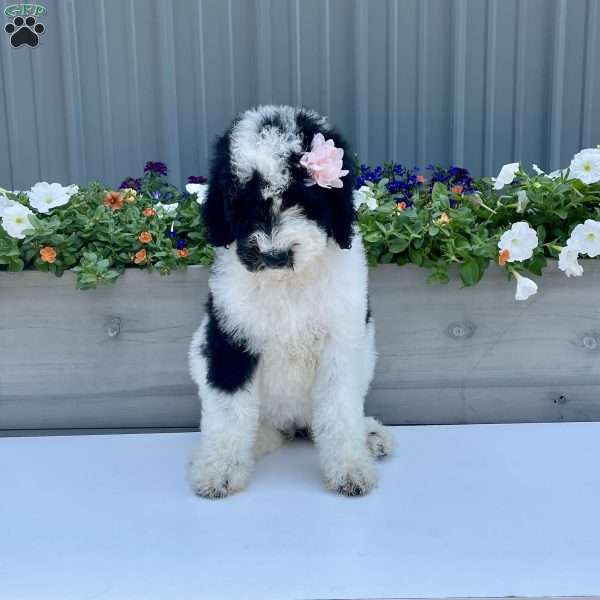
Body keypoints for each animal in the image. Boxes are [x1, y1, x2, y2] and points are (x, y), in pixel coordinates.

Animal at [189, 104, 394, 496]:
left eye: (303, 201)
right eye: (241, 205)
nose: (274, 255)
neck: (286, 282)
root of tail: (293, 423)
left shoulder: (341, 343)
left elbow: (339, 408)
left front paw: (350, 468)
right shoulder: (230, 339)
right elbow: (228, 410)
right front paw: (219, 469)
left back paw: (369, 435)